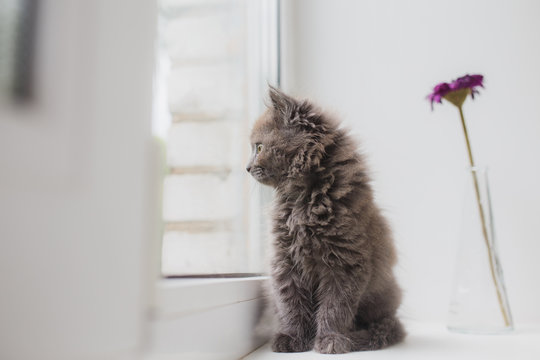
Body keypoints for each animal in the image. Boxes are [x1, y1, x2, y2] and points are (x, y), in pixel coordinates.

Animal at [246, 87, 404, 354]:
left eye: (258, 148)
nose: (246, 168)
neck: (304, 201)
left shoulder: (345, 263)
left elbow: (334, 307)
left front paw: (330, 340)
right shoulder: (285, 263)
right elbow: (291, 305)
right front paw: (292, 338)